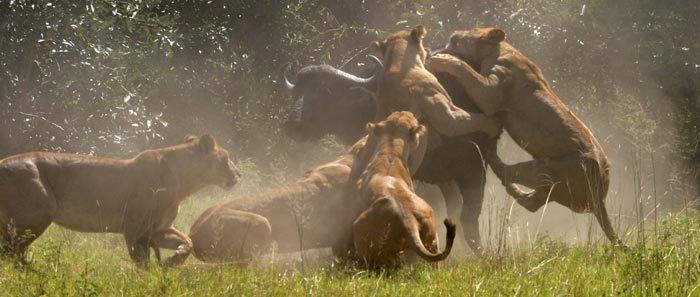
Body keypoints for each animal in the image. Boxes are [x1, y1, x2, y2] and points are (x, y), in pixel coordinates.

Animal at [0, 133, 241, 264]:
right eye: (226, 158)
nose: (239, 174)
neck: (186, 183)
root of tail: (3, 162)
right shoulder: (135, 230)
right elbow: (143, 263)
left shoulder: (158, 230)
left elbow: (188, 241)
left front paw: (173, 261)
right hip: (35, 217)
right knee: (12, 254)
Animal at [426, 27, 628, 249]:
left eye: (454, 39)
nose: (435, 49)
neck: (502, 50)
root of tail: (601, 197)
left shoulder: (490, 93)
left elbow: (465, 70)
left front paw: (442, 59)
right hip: (552, 185)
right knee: (531, 202)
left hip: (544, 168)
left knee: (507, 174)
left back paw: (493, 156)